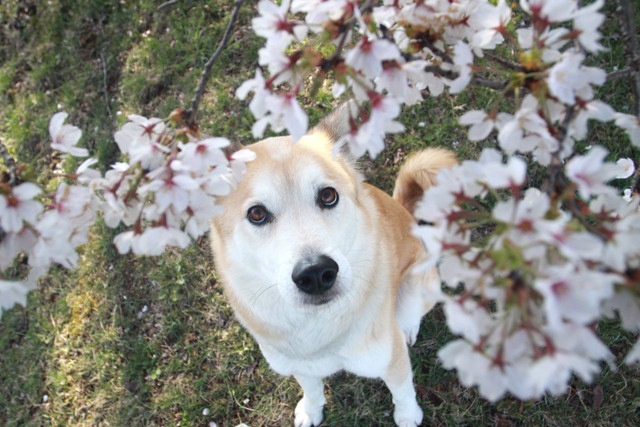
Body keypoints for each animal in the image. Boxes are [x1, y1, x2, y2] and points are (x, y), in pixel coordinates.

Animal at [210, 104, 456, 427]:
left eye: (328, 195)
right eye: (257, 214)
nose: (315, 273)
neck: (321, 328)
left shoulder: (391, 360)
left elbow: (402, 391)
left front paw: (408, 416)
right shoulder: (300, 366)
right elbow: (312, 389)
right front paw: (311, 411)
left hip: (417, 285)